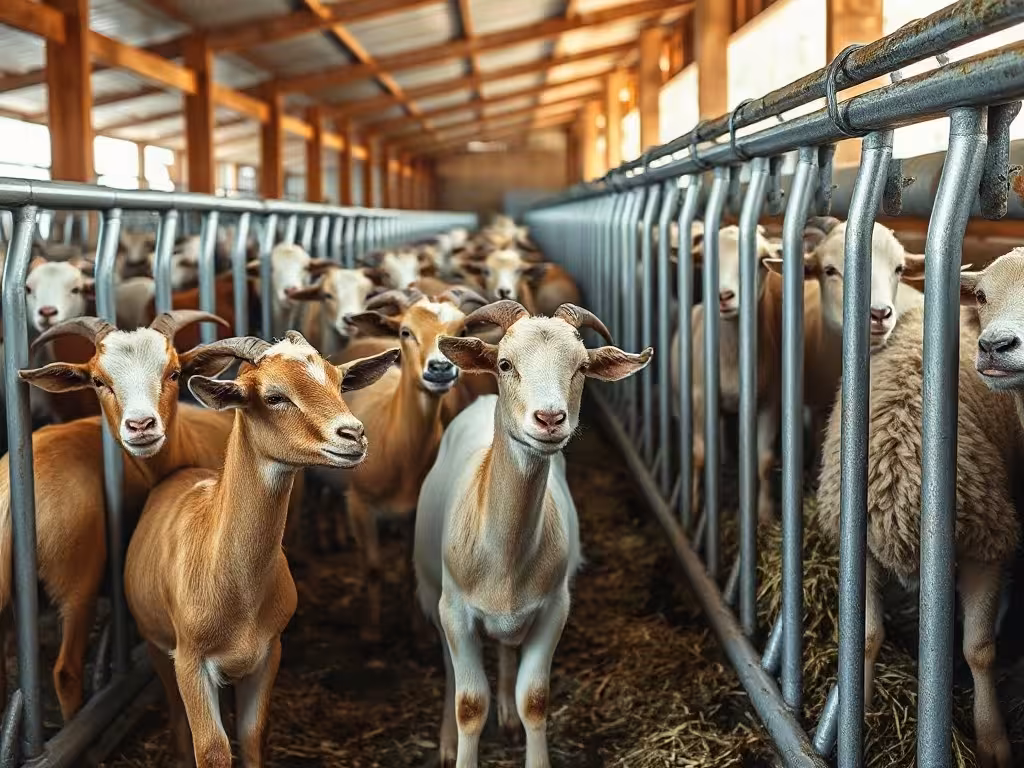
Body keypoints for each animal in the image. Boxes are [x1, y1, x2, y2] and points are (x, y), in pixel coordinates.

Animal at [1, 311, 235, 721]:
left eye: (174, 372)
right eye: (98, 381)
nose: (141, 426)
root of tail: (11, 496)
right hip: (77, 579)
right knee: (66, 671)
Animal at [124, 332, 398, 768]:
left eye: (339, 382)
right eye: (273, 396)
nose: (353, 435)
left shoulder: (268, 654)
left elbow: (253, 737)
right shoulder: (189, 663)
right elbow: (212, 749)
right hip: (155, 646)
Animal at [415, 301, 651, 768]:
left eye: (581, 367)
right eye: (505, 364)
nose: (549, 418)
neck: (503, 554)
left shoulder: (554, 607)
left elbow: (535, 700)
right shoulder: (455, 610)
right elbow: (470, 704)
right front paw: (459, 742)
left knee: (507, 650)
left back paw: (506, 714)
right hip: (433, 591)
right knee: (450, 669)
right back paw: (447, 740)